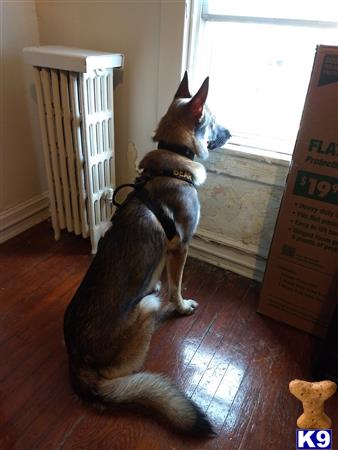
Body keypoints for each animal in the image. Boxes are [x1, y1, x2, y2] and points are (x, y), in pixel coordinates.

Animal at [63, 73, 231, 436]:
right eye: (212, 121)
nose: (231, 133)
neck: (174, 160)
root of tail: (77, 361)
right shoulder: (181, 248)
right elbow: (176, 286)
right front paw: (182, 307)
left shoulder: (167, 253)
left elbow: (162, 276)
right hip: (146, 309)